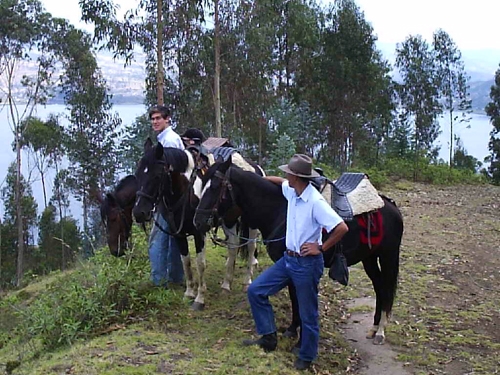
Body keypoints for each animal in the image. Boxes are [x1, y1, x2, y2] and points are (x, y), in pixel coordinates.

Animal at [133, 138, 207, 312]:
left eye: (156, 176)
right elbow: (186, 261)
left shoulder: (199, 233)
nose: (139, 213)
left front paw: (200, 298)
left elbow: (200, 264)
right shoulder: (178, 233)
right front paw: (189, 293)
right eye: (137, 174)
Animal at [193, 159, 404, 346]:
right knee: (379, 287)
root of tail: (391, 205)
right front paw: (293, 329)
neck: (280, 210)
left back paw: (381, 332)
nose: (198, 221)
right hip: (370, 258)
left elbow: (297, 299)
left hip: (388, 256)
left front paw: (295, 331)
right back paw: (374, 328)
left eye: (215, 187)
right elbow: (295, 299)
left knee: (386, 289)